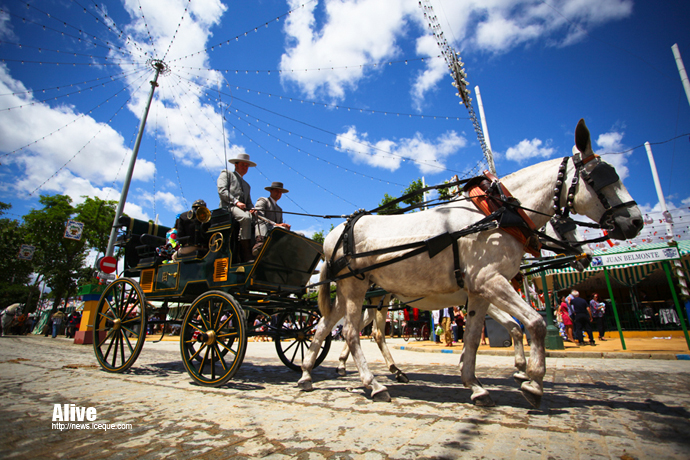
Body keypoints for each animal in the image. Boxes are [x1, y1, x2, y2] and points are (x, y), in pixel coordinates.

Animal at [334, 216, 592, 388]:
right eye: (563, 226)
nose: (586, 257)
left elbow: (512, 327)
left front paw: (517, 370)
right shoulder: (488, 295)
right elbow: (513, 326)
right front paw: (520, 370)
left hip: (379, 300)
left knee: (367, 330)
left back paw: (370, 367)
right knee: (357, 328)